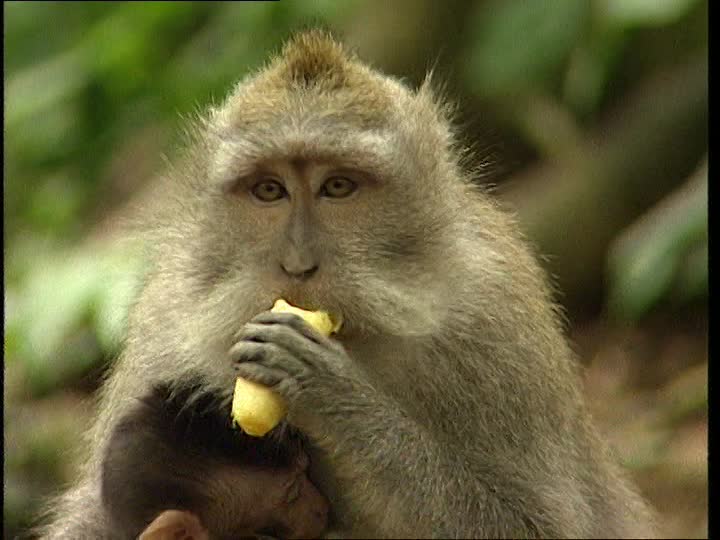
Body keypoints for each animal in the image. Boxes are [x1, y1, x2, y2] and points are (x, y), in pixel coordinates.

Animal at [38, 30, 660, 540]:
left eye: (338, 187)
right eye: (269, 190)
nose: (297, 265)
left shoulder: (496, 314)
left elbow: (536, 525)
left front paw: (332, 391)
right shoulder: (171, 311)